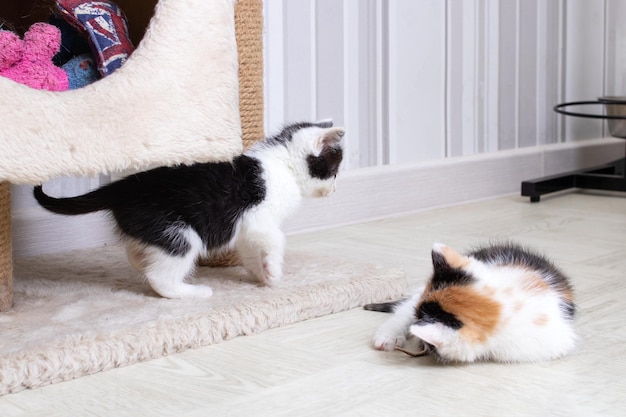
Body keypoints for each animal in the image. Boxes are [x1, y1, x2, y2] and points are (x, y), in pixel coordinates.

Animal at [33, 120, 346, 300]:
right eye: (334, 171)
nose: (334, 190)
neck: (282, 163)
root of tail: (123, 188)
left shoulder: (245, 228)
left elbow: (250, 249)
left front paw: (261, 276)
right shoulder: (259, 218)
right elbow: (276, 240)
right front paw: (273, 272)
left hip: (151, 228)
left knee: (136, 252)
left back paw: (142, 261)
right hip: (179, 232)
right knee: (161, 277)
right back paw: (191, 291)